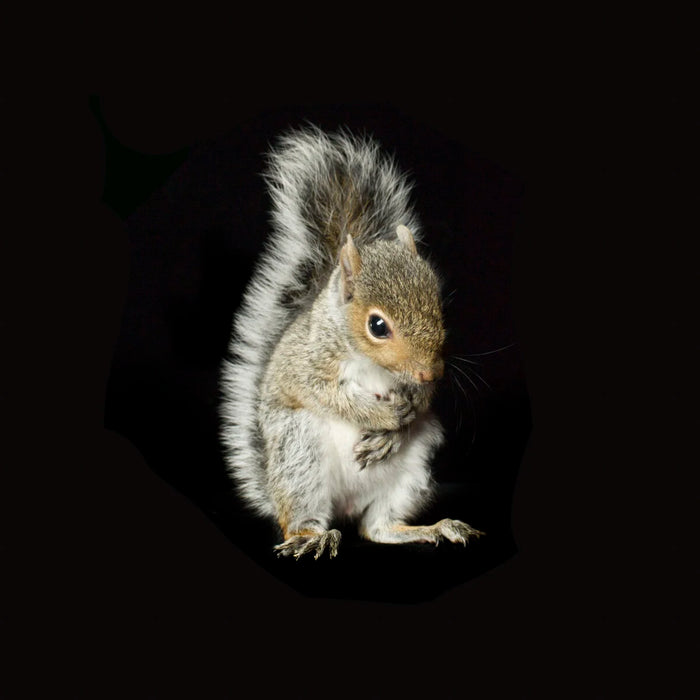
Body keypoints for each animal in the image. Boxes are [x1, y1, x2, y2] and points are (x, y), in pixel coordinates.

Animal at [220, 126, 484, 559]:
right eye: (377, 326)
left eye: (439, 306)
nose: (431, 373)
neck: (372, 363)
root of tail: (344, 507)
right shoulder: (311, 364)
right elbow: (329, 395)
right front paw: (385, 417)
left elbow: (423, 400)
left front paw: (399, 424)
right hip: (299, 454)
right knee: (304, 519)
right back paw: (311, 538)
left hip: (413, 468)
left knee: (376, 528)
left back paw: (434, 527)